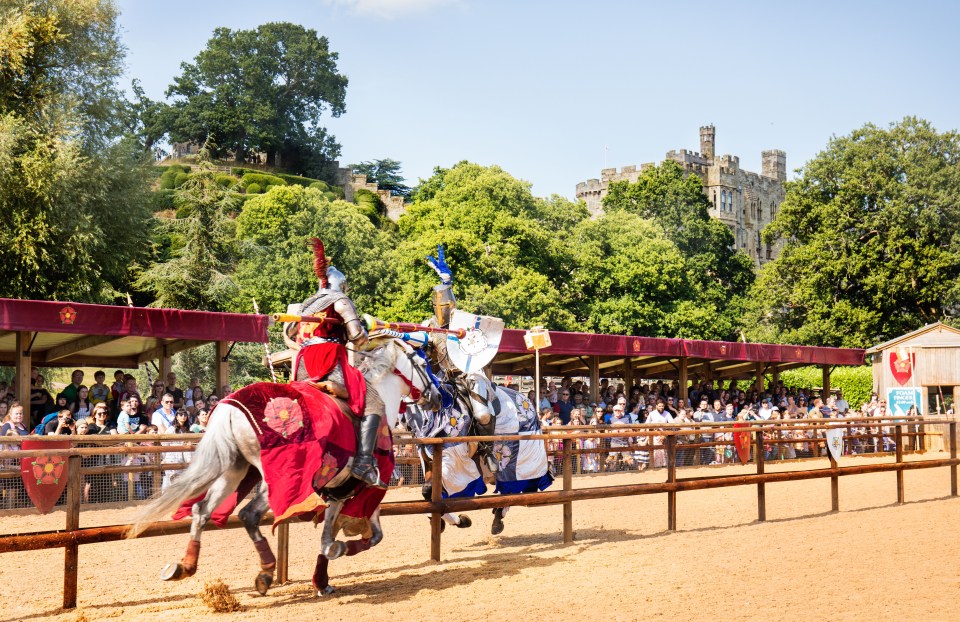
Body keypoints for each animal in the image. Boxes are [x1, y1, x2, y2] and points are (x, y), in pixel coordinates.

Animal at [129, 338, 436, 596]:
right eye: (423, 365)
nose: (436, 395)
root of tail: (229, 409)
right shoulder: (356, 492)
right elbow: (359, 538)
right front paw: (338, 554)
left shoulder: (335, 492)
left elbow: (332, 537)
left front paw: (321, 581)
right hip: (278, 477)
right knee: (248, 514)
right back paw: (265, 572)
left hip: (235, 470)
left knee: (201, 511)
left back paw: (186, 566)